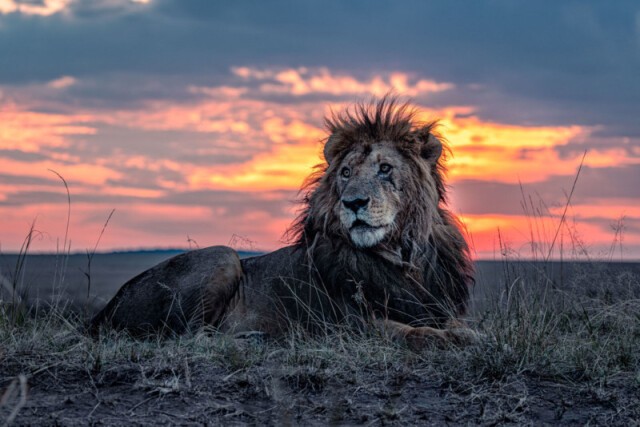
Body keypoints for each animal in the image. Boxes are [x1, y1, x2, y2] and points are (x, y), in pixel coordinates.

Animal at [90, 96, 476, 349]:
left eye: (385, 169)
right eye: (346, 173)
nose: (353, 203)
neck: (402, 257)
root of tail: (102, 314)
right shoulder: (350, 326)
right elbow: (415, 333)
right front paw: (464, 337)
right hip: (223, 256)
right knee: (190, 339)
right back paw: (250, 339)